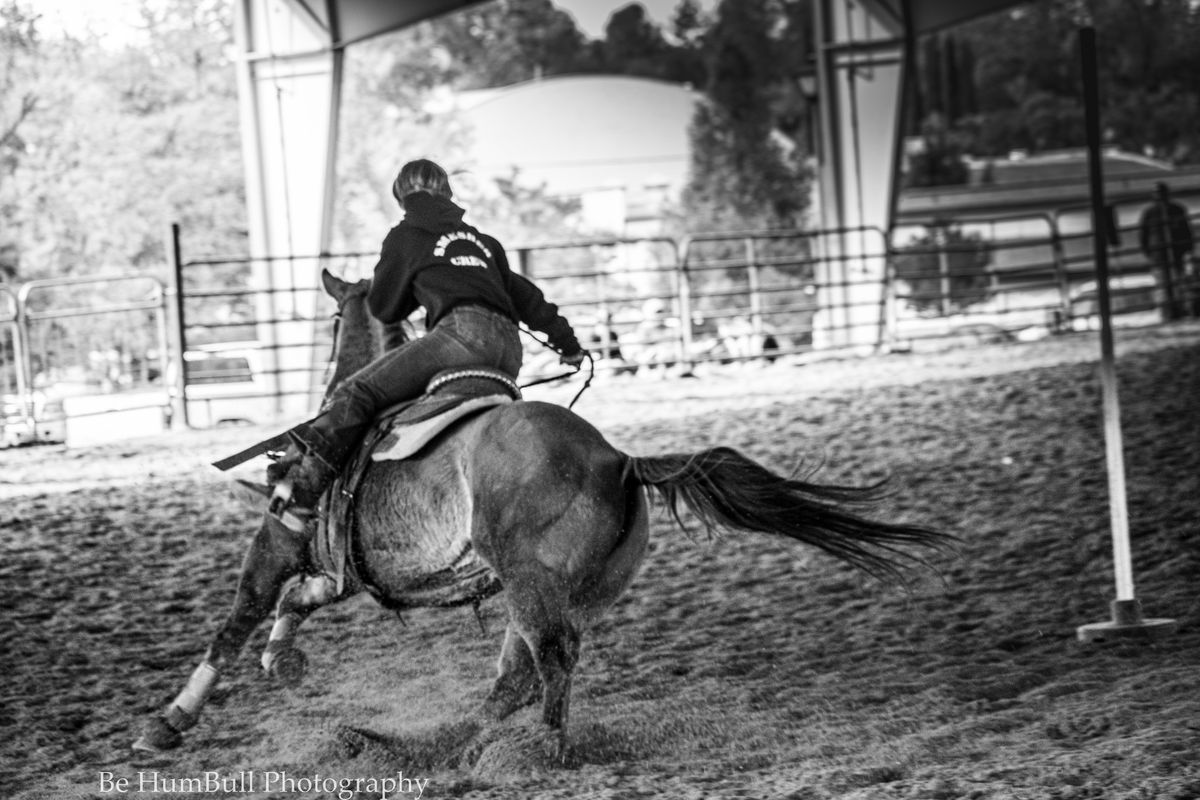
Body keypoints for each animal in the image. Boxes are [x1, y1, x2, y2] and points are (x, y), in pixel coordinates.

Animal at [133, 267, 955, 758]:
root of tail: (618, 460)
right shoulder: (340, 574)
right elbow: (297, 603)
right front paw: (284, 658)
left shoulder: (277, 540)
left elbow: (238, 619)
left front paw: (169, 721)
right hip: (564, 592)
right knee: (522, 673)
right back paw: (461, 753)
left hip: (529, 584)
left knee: (546, 666)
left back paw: (532, 756)